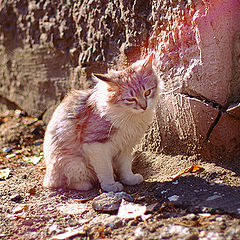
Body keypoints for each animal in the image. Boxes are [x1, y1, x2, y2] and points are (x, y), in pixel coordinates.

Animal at [43, 53, 159, 192]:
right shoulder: (96, 145)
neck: (130, 116)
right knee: (64, 181)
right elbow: (106, 170)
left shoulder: (126, 146)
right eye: (131, 99)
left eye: (147, 92)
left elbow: (125, 166)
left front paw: (129, 179)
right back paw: (84, 184)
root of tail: (48, 177)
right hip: (74, 163)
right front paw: (110, 186)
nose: (144, 106)